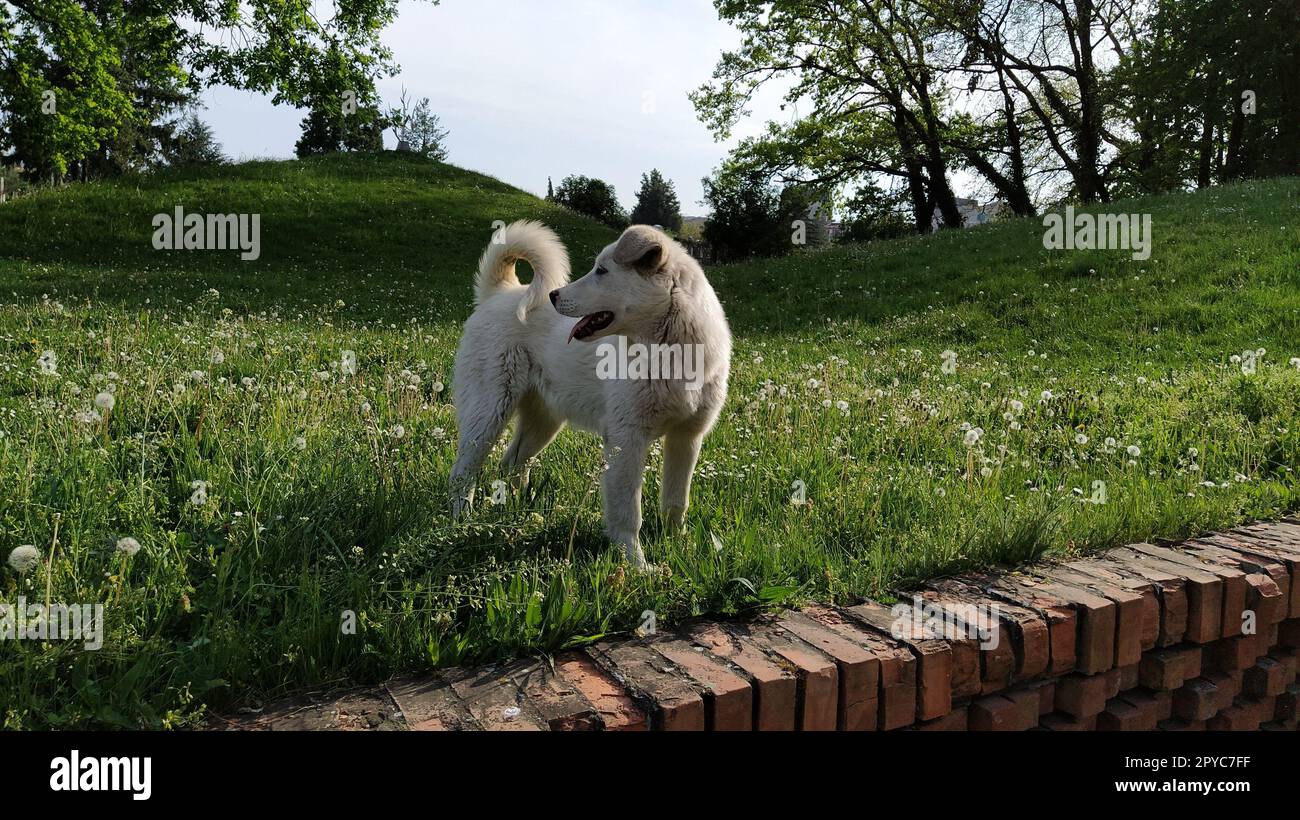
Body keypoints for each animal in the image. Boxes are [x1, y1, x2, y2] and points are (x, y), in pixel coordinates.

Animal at [452, 220, 728, 566]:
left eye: (602, 271)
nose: (553, 295)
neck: (668, 353)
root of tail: (500, 292)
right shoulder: (627, 439)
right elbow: (628, 512)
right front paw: (636, 563)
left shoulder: (687, 437)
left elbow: (676, 501)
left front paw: (679, 546)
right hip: (488, 413)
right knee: (464, 471)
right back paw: (462, 520)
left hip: (543, 421)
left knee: (511, 463)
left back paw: (522, 514)